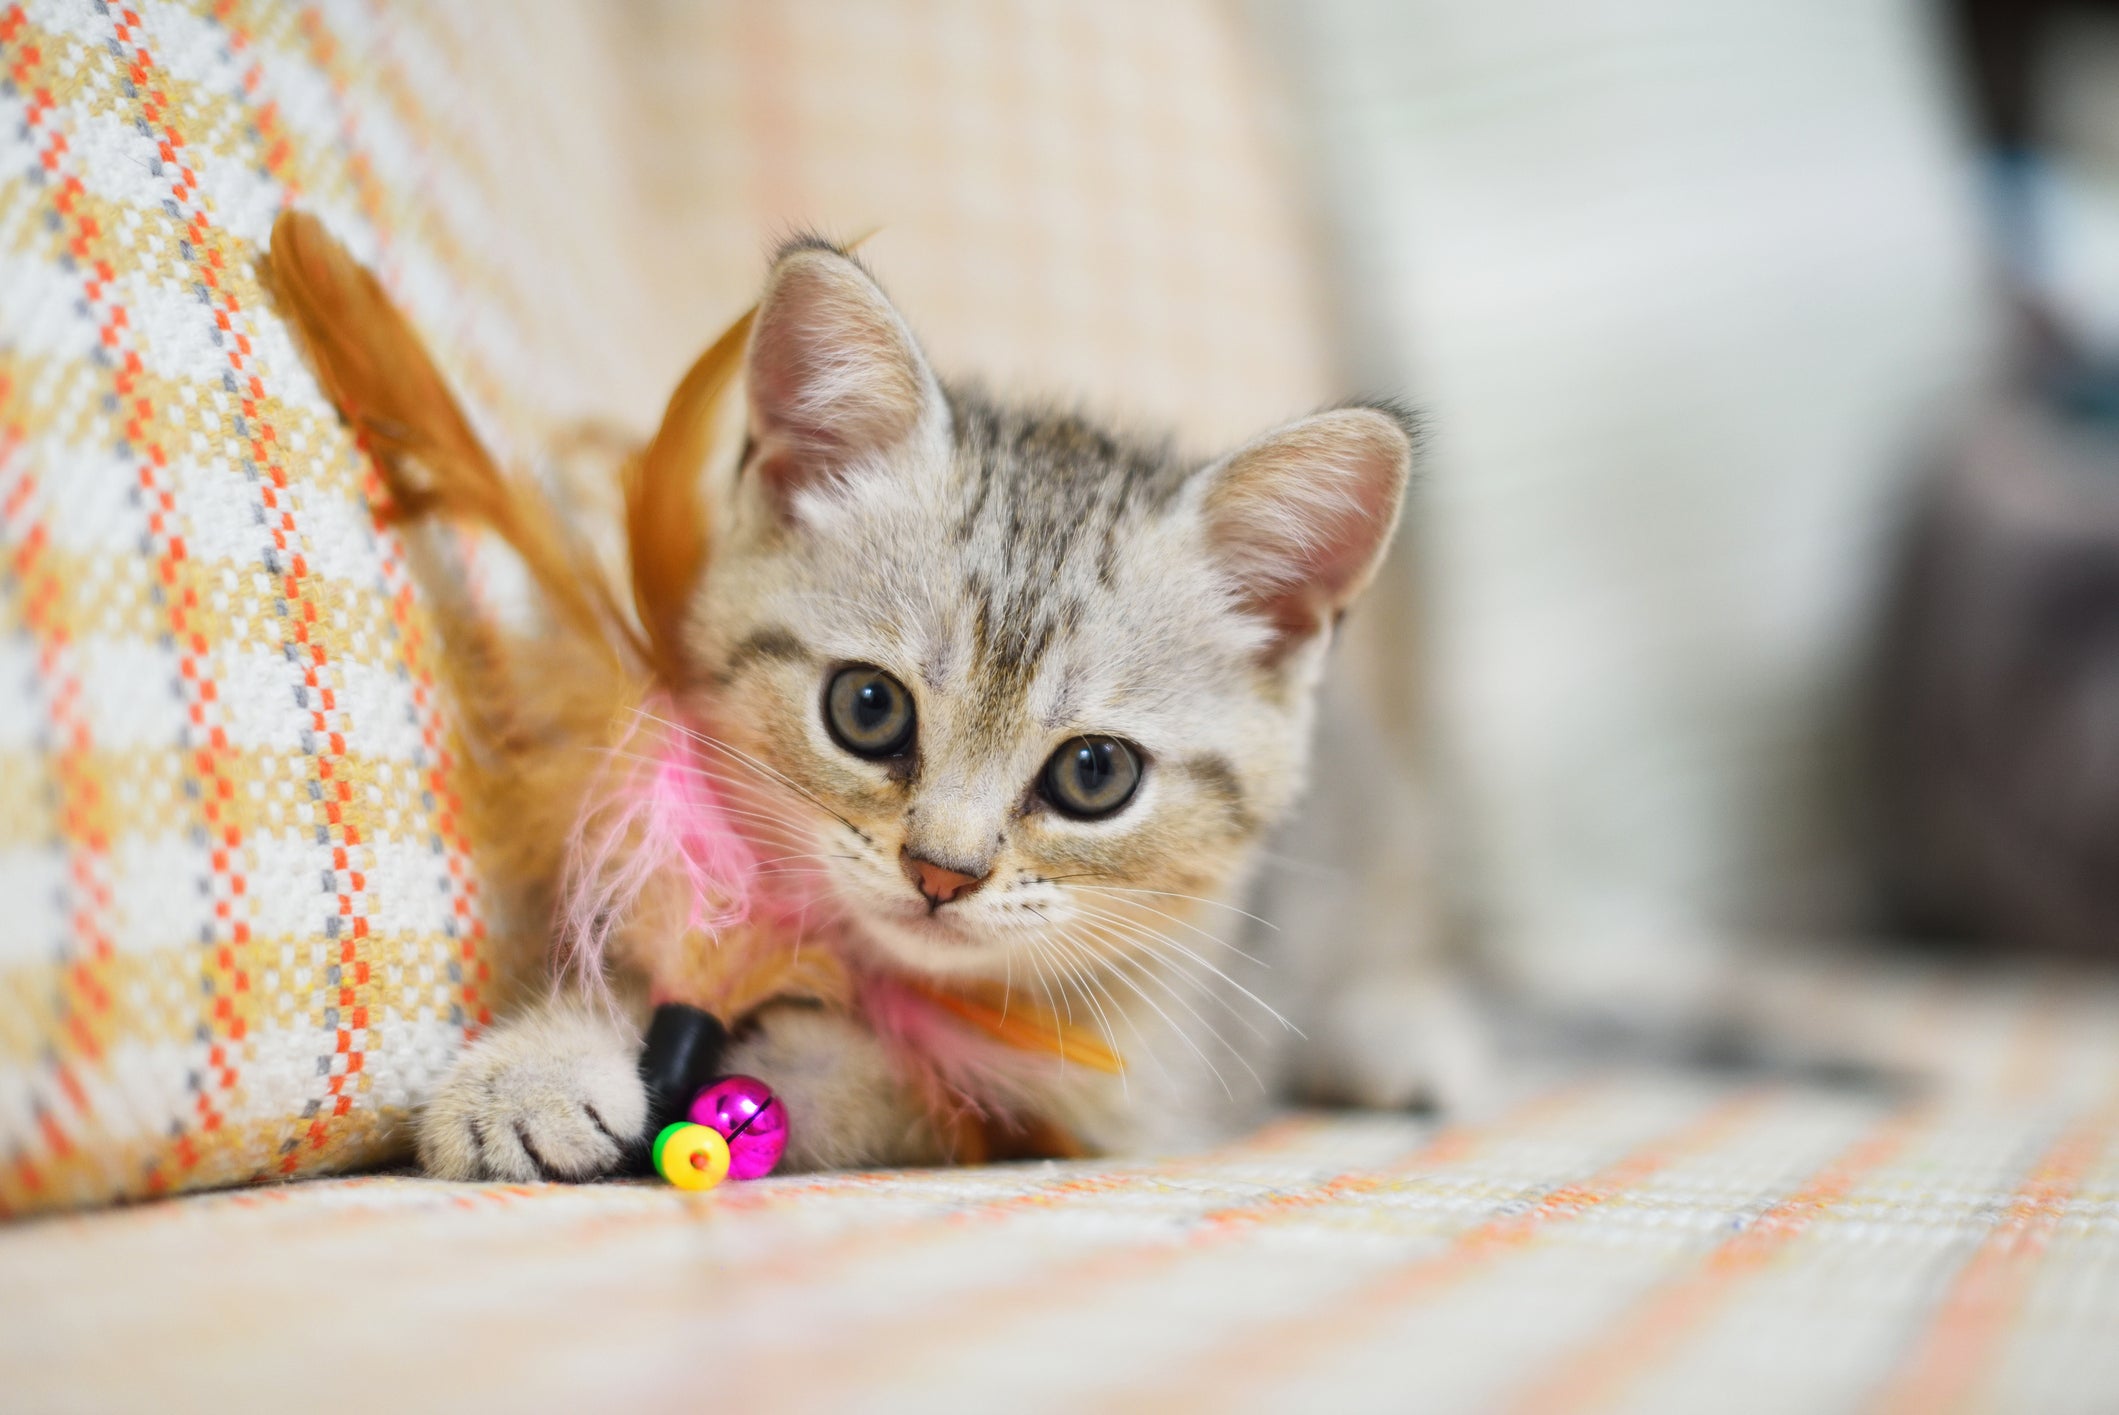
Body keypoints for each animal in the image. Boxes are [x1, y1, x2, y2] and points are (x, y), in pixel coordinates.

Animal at [415, 243, 1423, 1186]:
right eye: (868, 707)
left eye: (1095, 772)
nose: (940, 871)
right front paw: (537, 1067)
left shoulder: (1143, 1086)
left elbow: (912, 1089)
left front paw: (790, 1066)